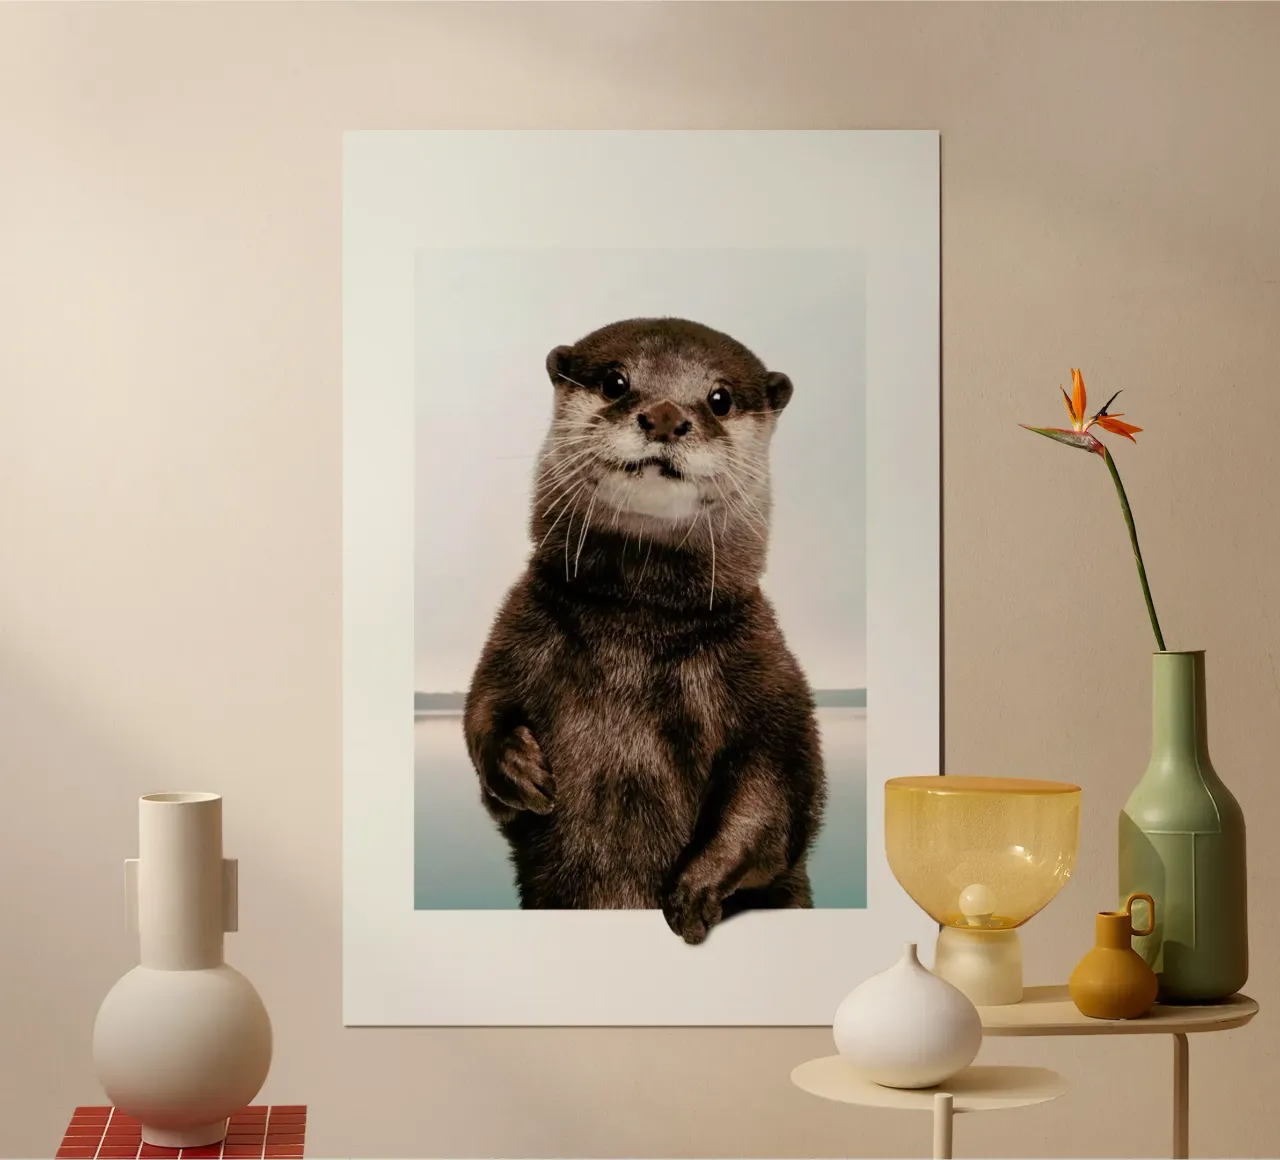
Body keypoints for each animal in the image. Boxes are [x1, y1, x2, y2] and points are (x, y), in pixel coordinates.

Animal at [463, 317, 826, 944]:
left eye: (719, 398)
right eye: (615, 381)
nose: (662, 415)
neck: (636, 631)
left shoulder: (771, 681)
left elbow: (774, 799)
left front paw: (695, 890)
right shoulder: (515, 633)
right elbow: (482, 709)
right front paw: (516, 768)